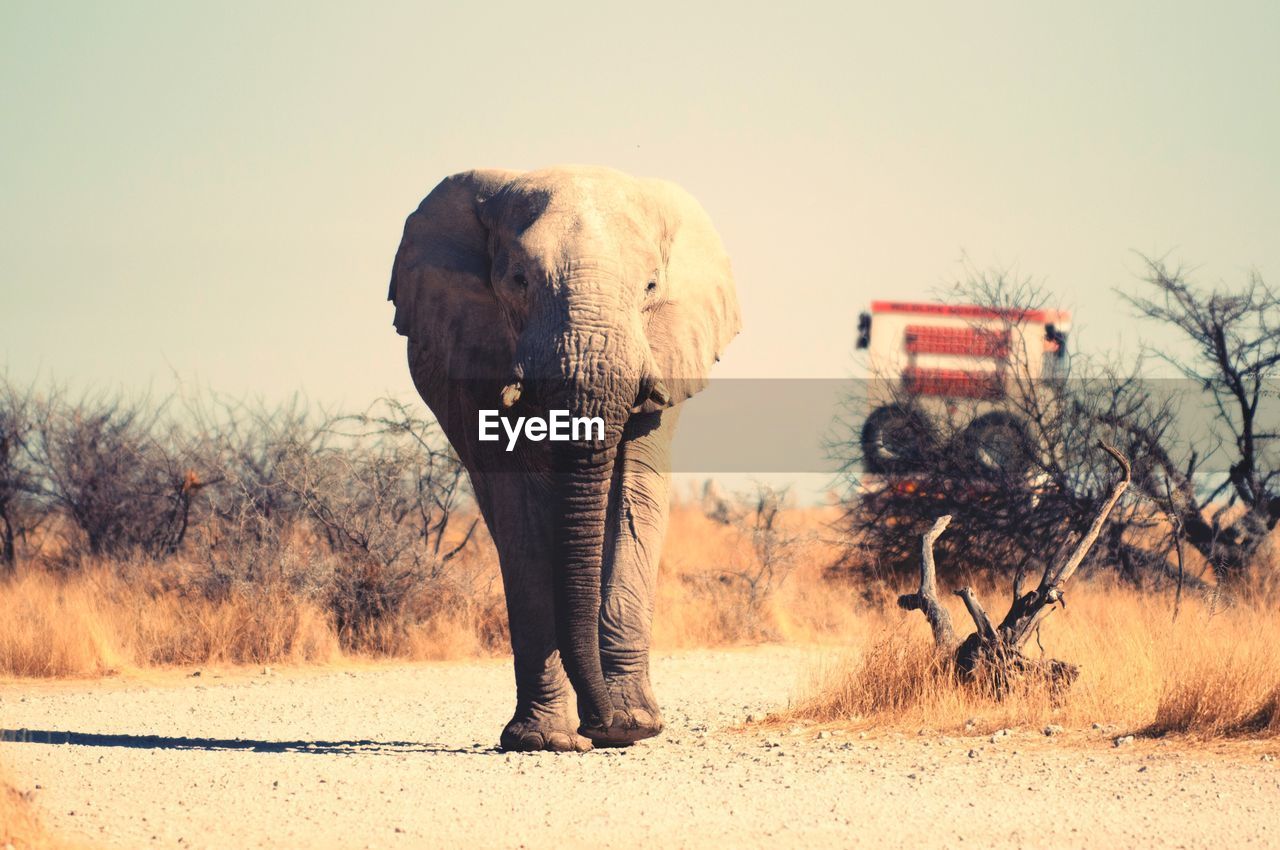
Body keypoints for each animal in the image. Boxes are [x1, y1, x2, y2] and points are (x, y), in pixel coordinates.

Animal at [384, 163, 742, 752]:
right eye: (518, 282)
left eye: (651, 287)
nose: (602, 726)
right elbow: (518, 511)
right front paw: (544, 742)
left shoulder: (665, 353)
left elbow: (635, 498)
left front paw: (634, 727)